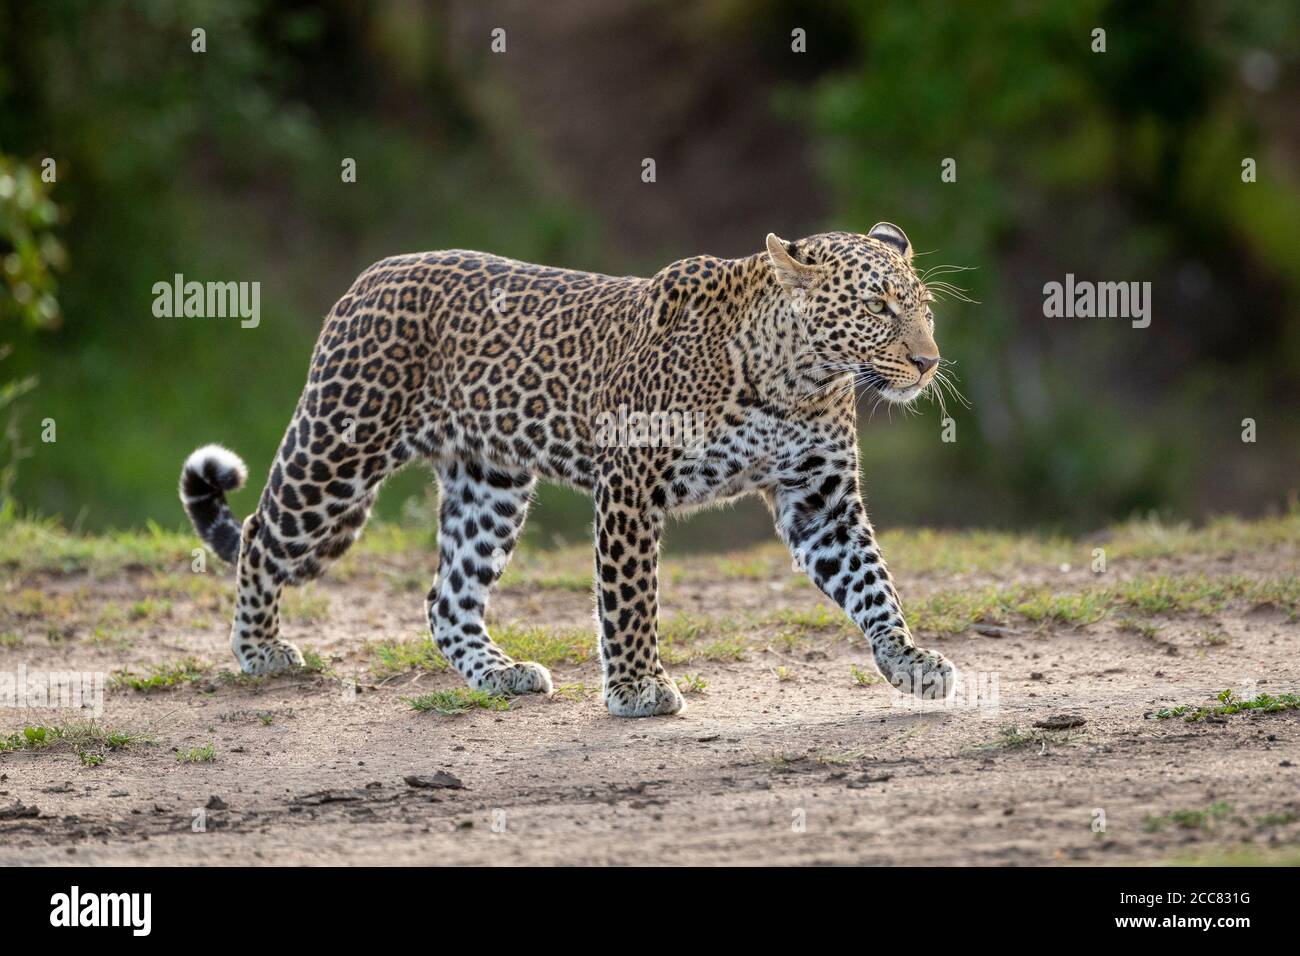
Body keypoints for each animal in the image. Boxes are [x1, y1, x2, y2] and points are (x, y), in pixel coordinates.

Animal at [180, 223, 956, 717]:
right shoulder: (631, 485)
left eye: (923, 309)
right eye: (877, 307)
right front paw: (638, 689)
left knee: (448, 597)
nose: (929, 362)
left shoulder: (820, 500)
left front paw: (910, 660)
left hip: (489, 482)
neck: (798, 378)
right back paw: (260, 650)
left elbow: (872, 584)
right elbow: (630, 598)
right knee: (260, 537)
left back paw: (499, 674)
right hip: (338, 458)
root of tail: (369, 276)